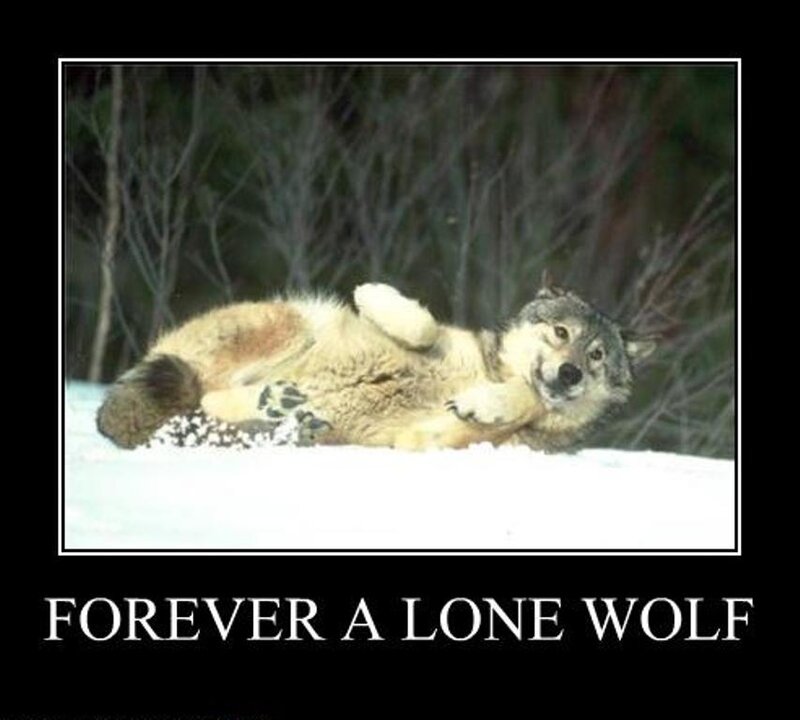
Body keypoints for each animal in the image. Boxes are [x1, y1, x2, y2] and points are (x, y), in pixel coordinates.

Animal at [96, 281, 656, 451]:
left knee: (206, 400)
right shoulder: (438, 343)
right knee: (204, 388)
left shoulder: (429, 442)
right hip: (297, 319)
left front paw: (488, 405)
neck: (490, 372)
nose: (569, 373)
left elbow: (524, 401)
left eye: (597, 356)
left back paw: (285, 412)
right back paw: (279, 403)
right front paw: (375, 295)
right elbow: (424, 326)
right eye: (561, 333)